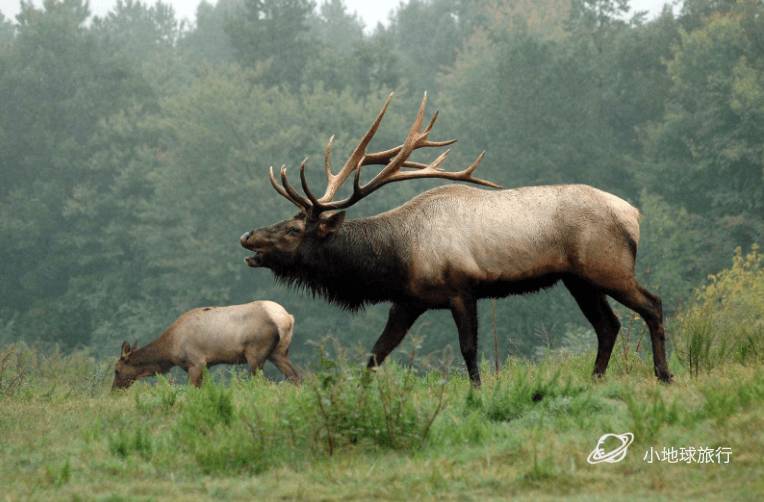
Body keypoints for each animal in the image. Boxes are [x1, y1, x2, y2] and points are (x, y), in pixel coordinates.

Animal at [112, 300, 300, 390]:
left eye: (116, 370)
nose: (114, 390)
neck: (170, 350)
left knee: (262, 382)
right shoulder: (206, 365)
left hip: (255, 353)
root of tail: (287, 318)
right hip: (279, 352)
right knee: (296, 377)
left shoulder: (196, 362)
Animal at [237, 93, 668, 384]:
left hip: (607, 266)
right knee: (608, 325)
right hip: (578, 279)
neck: (395, 258)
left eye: (294, 229)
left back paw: (664, 373)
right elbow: (376, 353)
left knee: (652, 304)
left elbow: (469, 349)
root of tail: (633, 215)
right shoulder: (408, 301)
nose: (247, 236)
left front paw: (477, 392)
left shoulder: (462, 289)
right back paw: (596, 378)